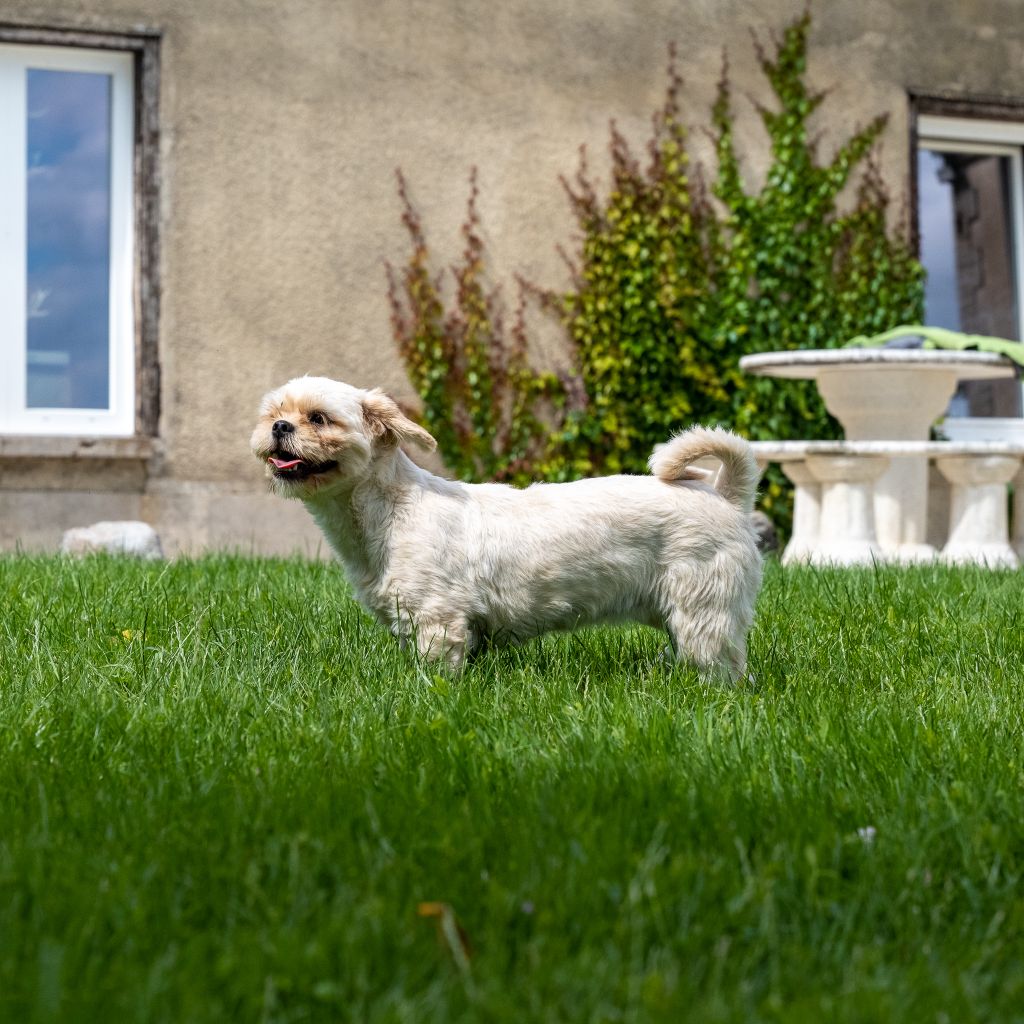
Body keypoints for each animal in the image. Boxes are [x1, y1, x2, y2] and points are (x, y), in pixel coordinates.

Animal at [249, 376, 761, 679]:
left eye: (319, 418)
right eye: (273, 412)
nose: (279, 427)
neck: (391, 512)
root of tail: (726, 495)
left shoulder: (438, 621)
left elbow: (438, 672)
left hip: (704, 609)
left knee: (725, 667)